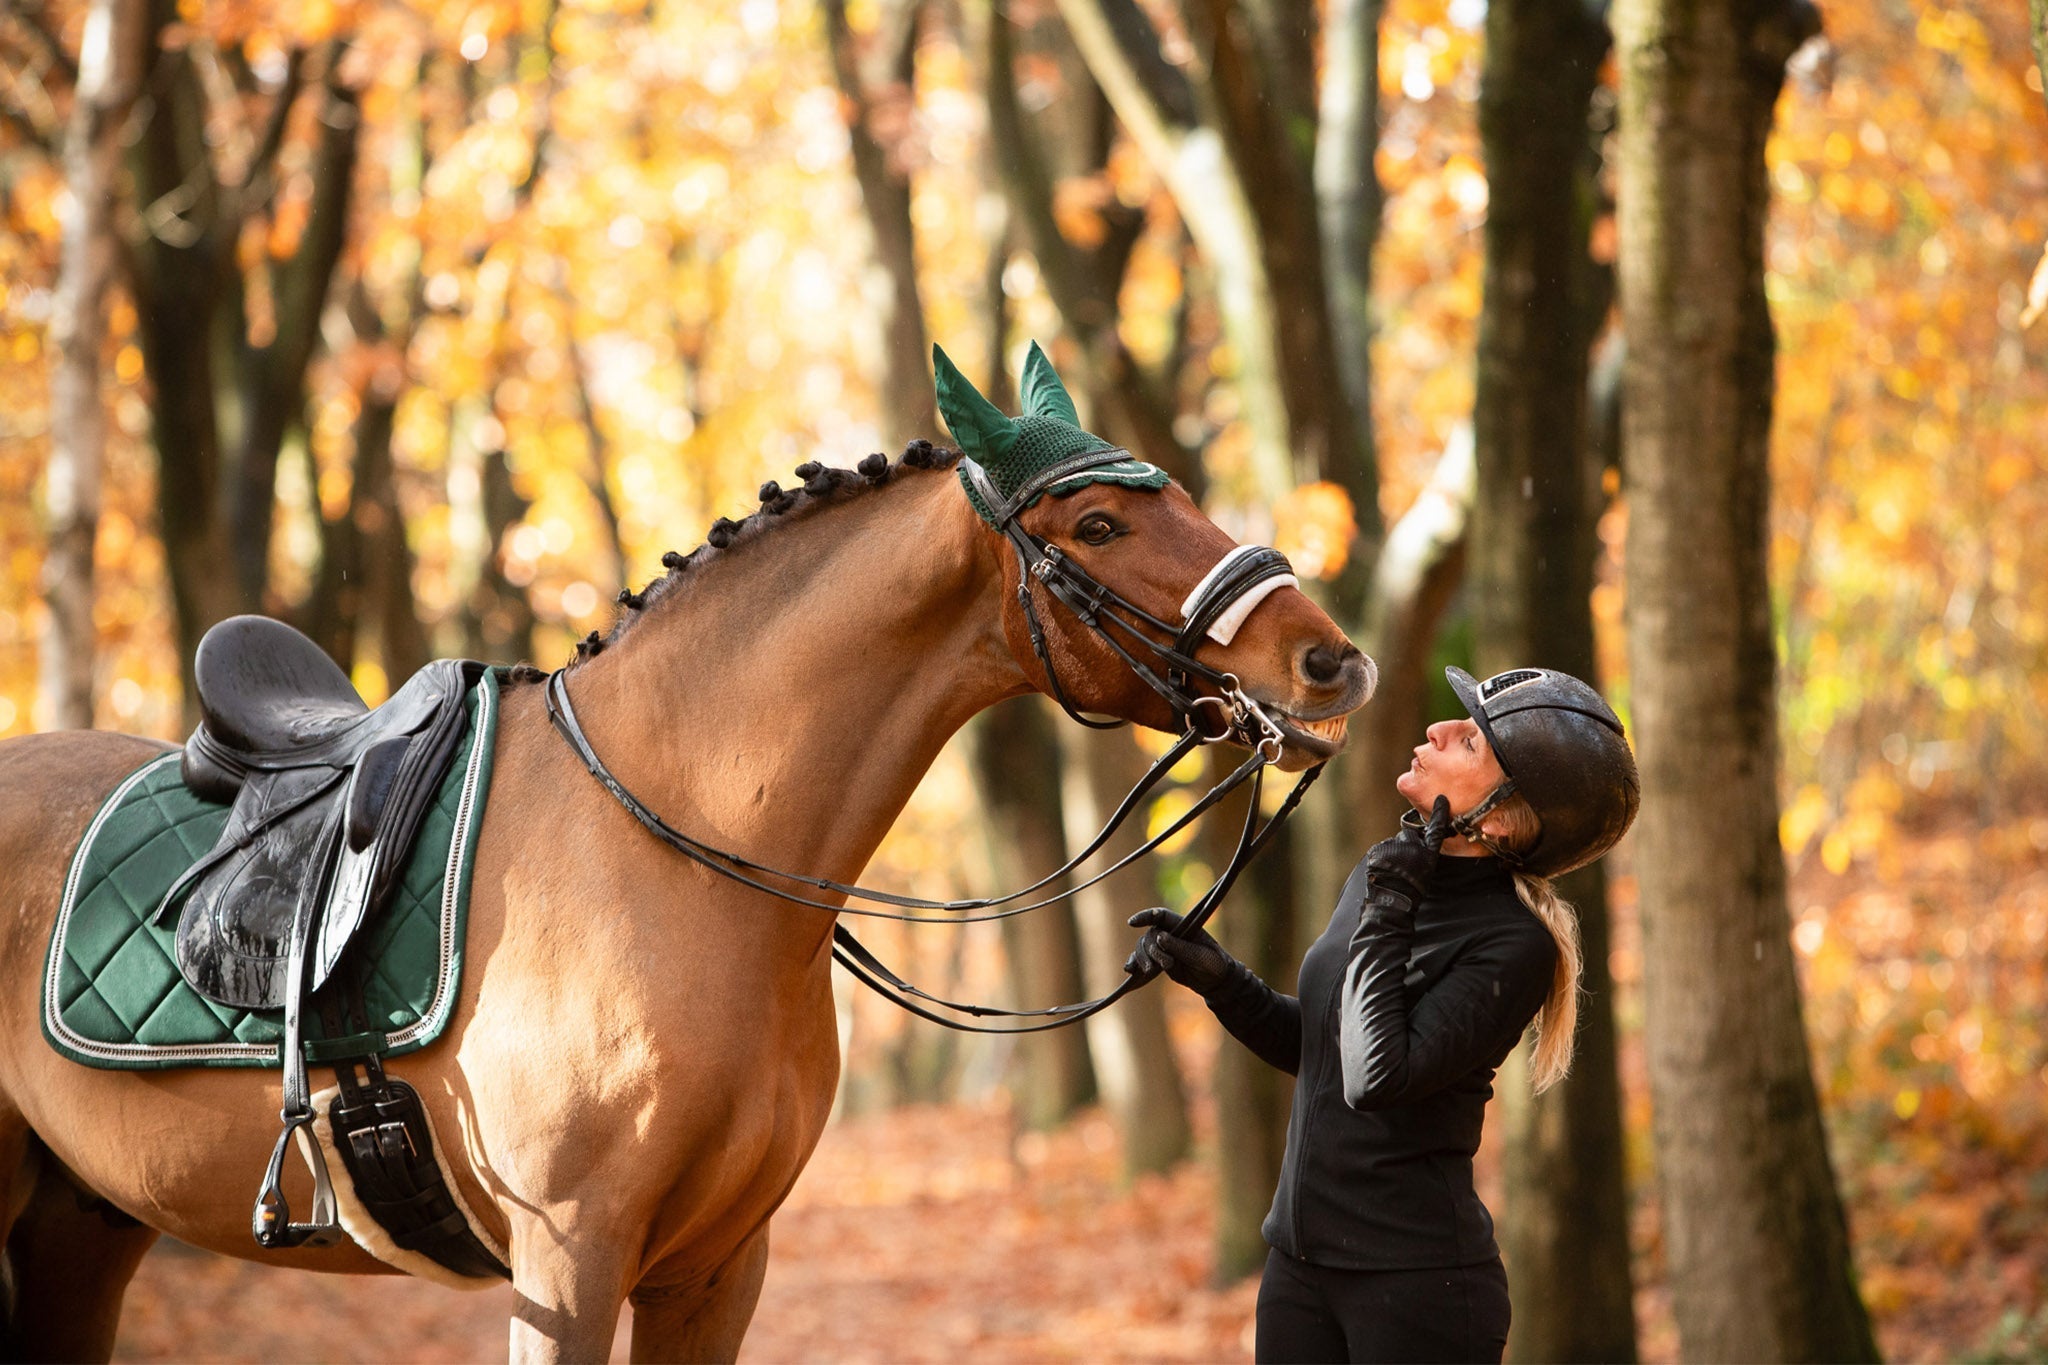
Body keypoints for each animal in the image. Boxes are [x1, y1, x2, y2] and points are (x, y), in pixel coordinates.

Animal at [0, 444, 1376, 1358]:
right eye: (1094, 525)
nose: (1330, 660)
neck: (677, 852)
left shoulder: (716, 1265)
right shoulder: (567, 1262)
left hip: (82, 1224)